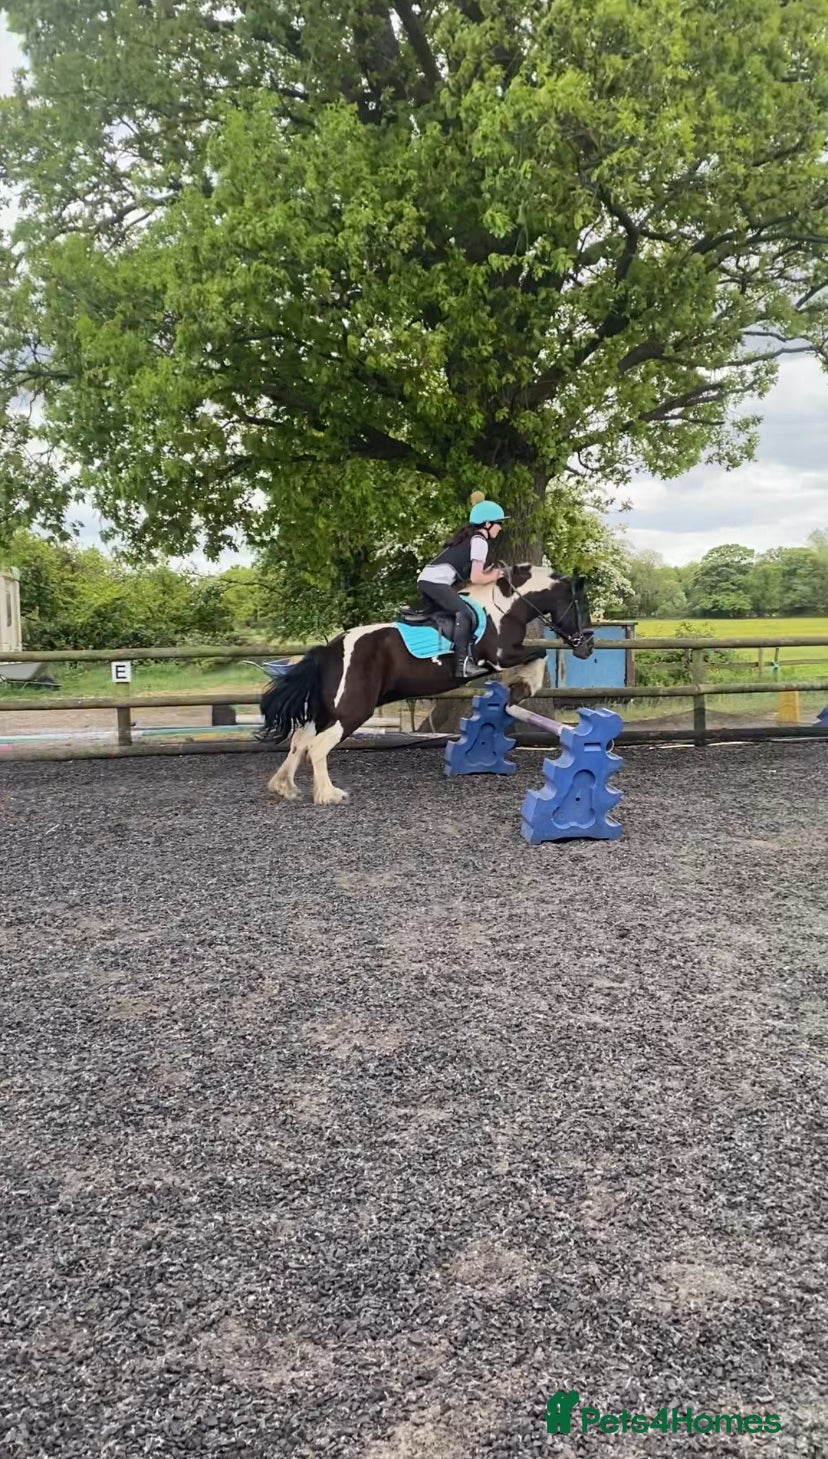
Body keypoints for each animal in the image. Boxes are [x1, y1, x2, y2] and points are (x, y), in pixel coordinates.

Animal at [258, 564, 594, 804]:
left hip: (327, 711)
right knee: (316, 746)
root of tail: (328, 651)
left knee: (300, 740)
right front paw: (523, 686)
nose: (587, 647)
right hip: (353, 710)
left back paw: (285, 787)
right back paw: (329, 795)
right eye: (580, 605)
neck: (504, 607)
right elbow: (539, 654)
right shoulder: (501, 656)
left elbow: (535, 656)